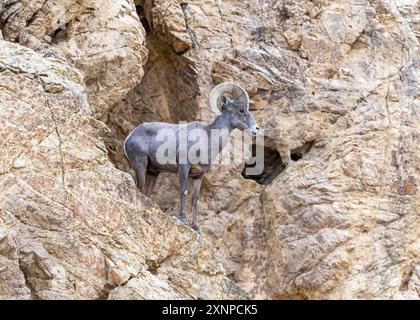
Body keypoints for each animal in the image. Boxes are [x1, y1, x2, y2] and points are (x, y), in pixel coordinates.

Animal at [123, 82, 260, 232]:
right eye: (241, 110)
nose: (257, 129)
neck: (207, 140)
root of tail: (130, 137)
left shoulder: (198, 175)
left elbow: (195, 199)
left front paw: (195, 227)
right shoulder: (184, 168)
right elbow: (184, 191)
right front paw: (183, 219)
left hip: (153, 172)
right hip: (140, 165)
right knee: (140, 188)